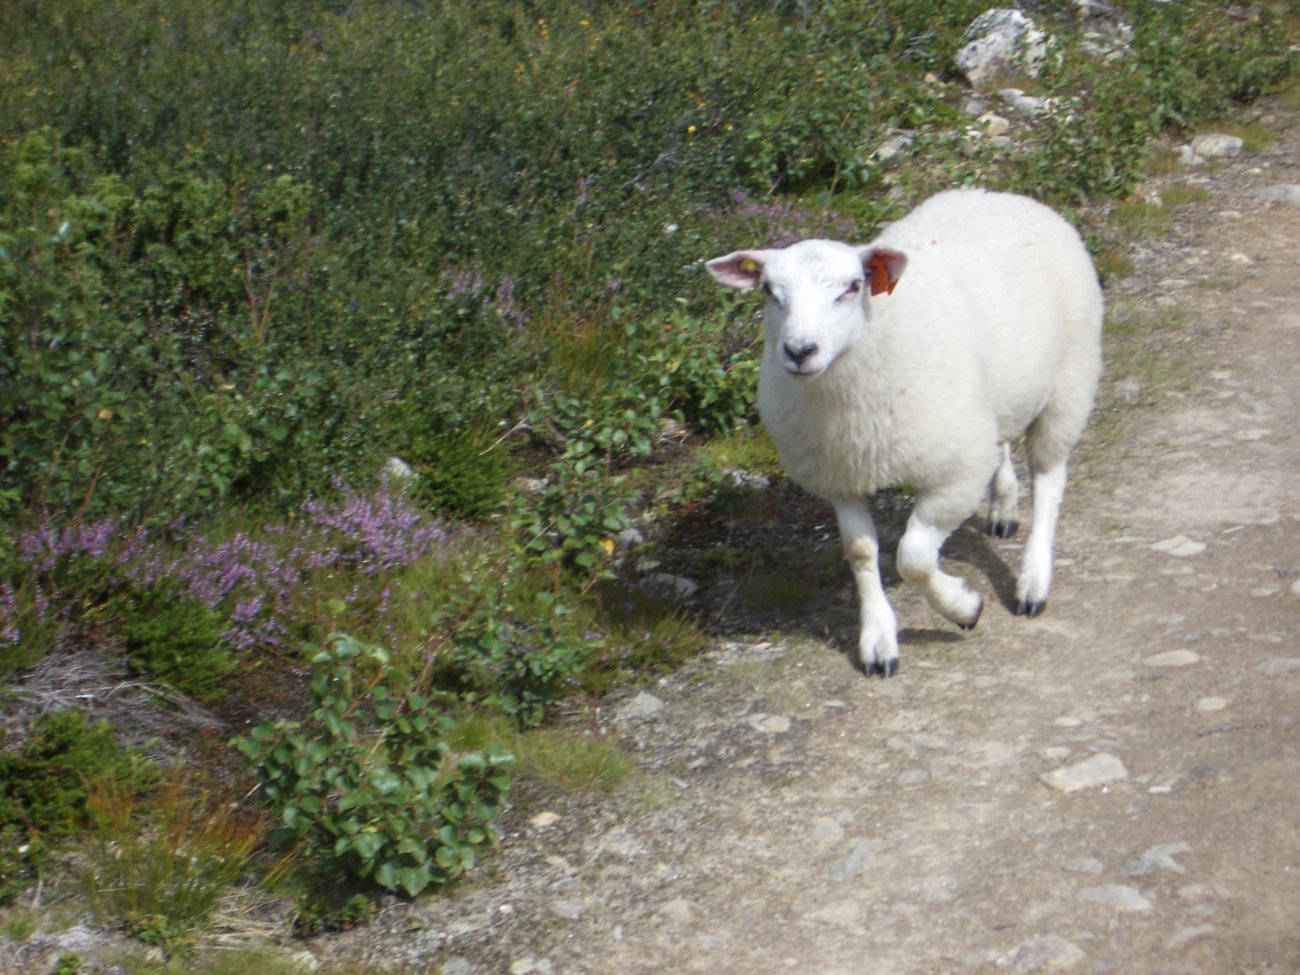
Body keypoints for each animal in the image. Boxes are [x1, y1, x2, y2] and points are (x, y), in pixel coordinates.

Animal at [705, 188, 1103, 677]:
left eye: (852, 288)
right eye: (768, 290)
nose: (800, 351)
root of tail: (1001, 195)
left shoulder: (955, 474)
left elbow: (912, 558)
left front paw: (964, 607)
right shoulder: (840, 474)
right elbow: (860, 552)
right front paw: (878, 641)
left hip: (1071, 376)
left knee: (1049, 479)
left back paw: (1033, 581)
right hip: (1000, 394)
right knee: (1003, 443)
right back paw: (1004, 506)